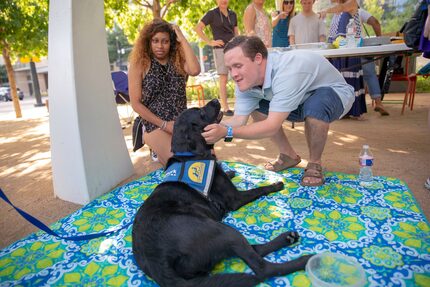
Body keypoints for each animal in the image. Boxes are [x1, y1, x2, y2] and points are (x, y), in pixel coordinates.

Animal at [132, 99, 312, 287]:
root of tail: (159, 266)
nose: (216, 100)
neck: (189, 154)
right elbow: (259, 189)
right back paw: (305, 259)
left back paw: (287, 238)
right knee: (263, 267)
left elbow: (227, 172)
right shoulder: (235, 198)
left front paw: (231, 171)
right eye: (200, 113)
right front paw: (275, 184)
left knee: (256, 250)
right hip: (224, 232)